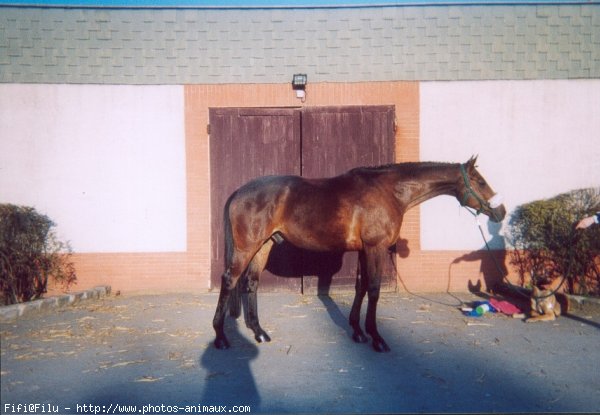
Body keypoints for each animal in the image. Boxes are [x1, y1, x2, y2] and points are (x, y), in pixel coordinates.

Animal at [213, 158, 504, 352]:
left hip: (264, 246)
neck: (390, 191)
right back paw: (221, 337)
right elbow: (374, 289)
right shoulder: (375, 248)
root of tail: (239, 192)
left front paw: (357, 331)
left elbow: (361, 287)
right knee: (229, 280)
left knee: (251, 283)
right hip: (246, 248)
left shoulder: (365, 250)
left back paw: (259, 333)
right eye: (480, 181)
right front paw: (377, 338)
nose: (499, 212)